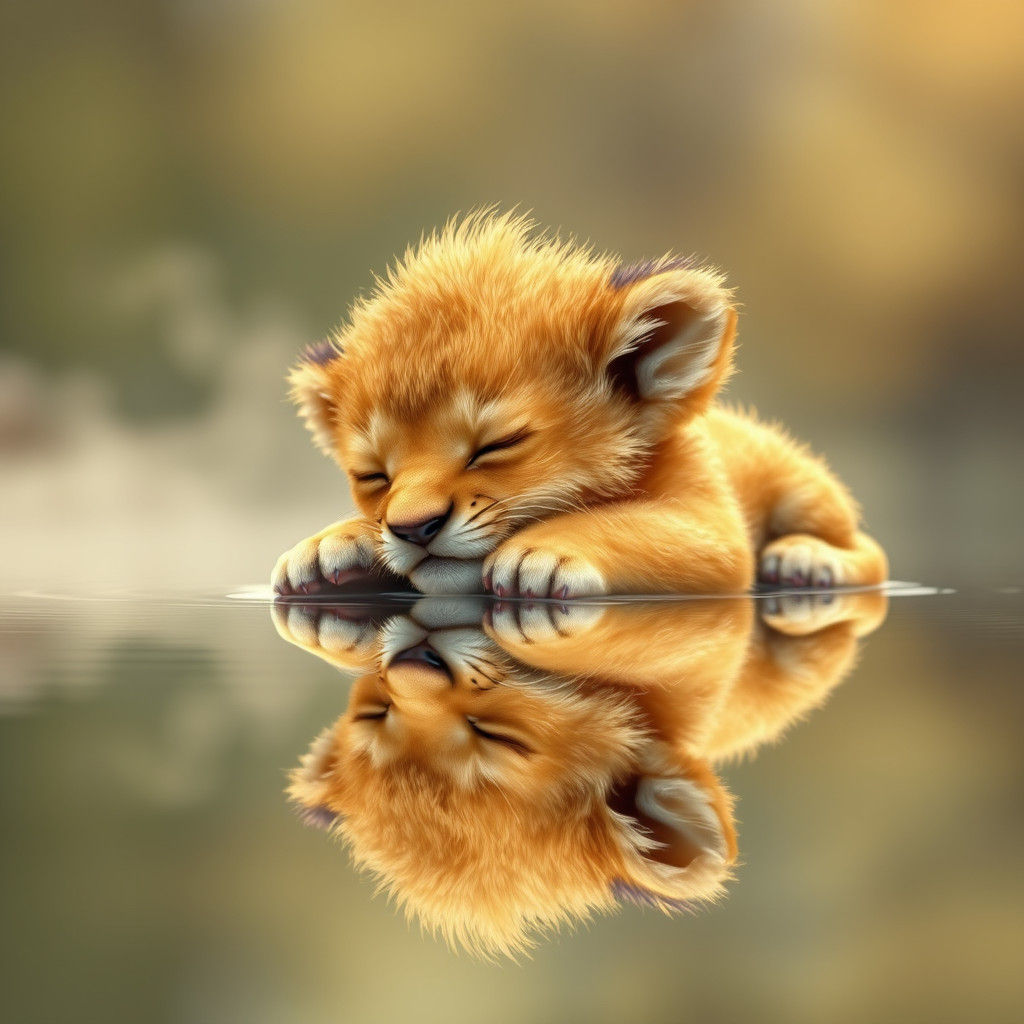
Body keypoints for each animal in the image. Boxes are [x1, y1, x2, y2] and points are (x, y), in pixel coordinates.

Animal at [272, 210, 887, 597]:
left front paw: (545, 554)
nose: (413, 528)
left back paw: (806, 560)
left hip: (806, 489)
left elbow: (630, 523)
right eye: (373, 475)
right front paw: (330, 546)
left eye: (498, 445)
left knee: (872, 551)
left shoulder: (712, 524)